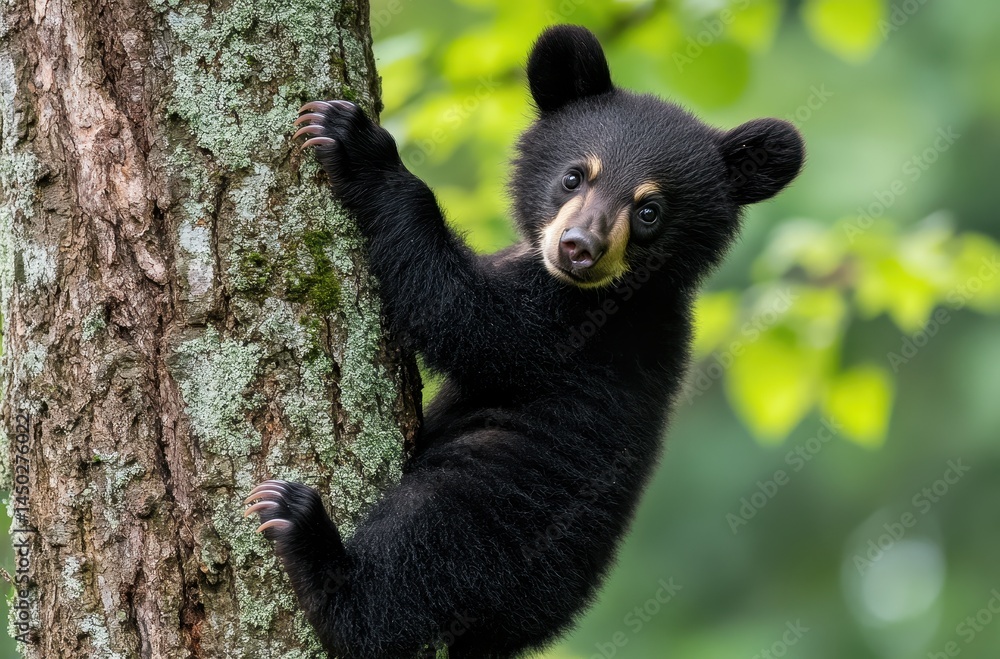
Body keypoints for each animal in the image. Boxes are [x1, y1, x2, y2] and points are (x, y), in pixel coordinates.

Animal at [245, 24, 803, 659]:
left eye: (650, 210)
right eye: (574, 175)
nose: (579, 247)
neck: (626, 291)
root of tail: (512, 635)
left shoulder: (572, 330)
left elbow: (468, 317)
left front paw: (356, 143)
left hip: (491, 514)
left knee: (409, 573)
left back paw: (306, 535)